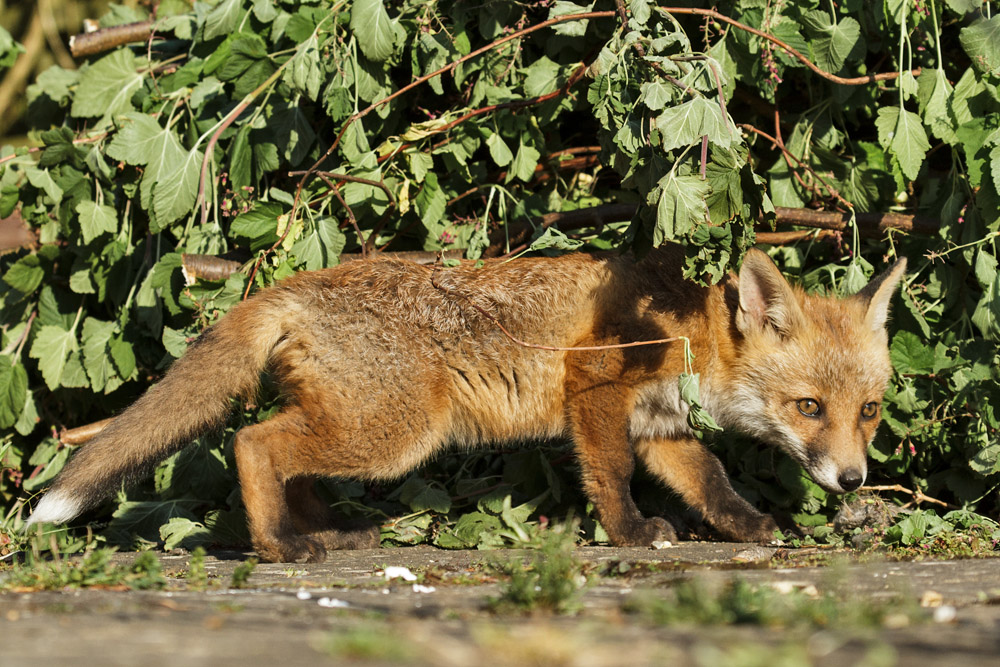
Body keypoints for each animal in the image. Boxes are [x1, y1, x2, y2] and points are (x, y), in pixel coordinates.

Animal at [26, 245, 906, 563]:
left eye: (867, 411)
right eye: (808, 407)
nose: (854, 481)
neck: (688, 333)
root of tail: (296, 284)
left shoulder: (662, 428)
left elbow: (713, 482)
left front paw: (751, 526)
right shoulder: (595, 392)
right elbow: (611, 478)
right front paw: (630, 534)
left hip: (360, 427)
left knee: (286, 460)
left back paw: (327, 534)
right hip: (395, 435)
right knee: (254, 445)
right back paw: (279, 547)